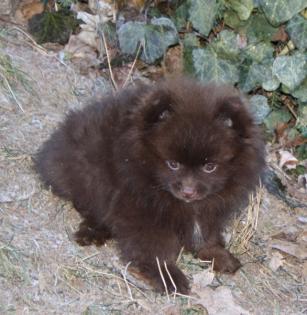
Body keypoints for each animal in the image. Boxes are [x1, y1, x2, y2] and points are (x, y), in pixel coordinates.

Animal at [36, 78, 266, 296]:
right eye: (173, 164)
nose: (188, 191)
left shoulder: (208, 209)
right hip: (83, 175)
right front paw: (167, 275)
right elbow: (153, 247)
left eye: (210, 167)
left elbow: (206, 234)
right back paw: (94, 230)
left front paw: (216, 254)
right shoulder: (141, 209)